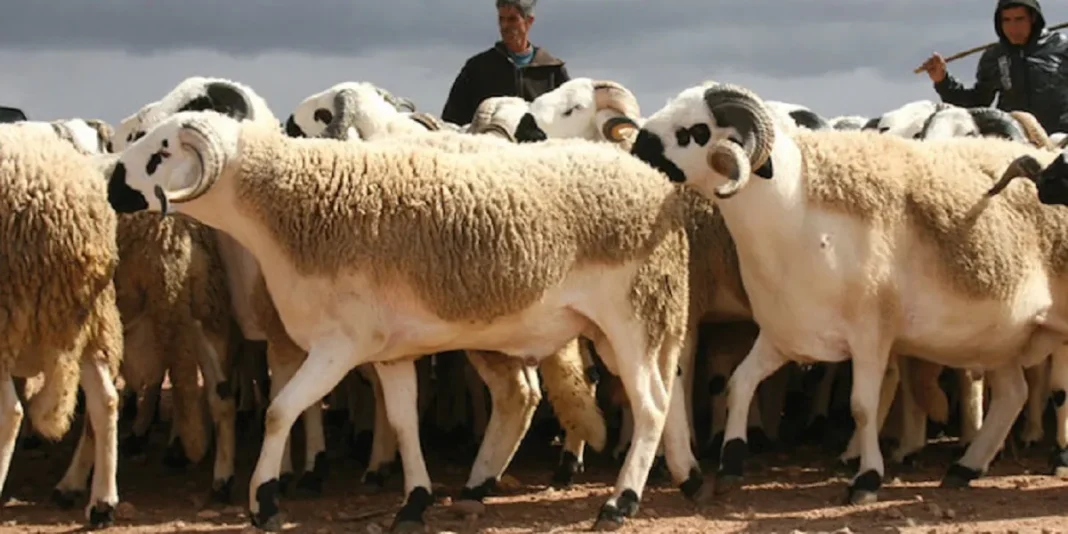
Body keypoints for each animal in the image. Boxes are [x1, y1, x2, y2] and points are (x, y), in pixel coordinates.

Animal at [630, 79, 1068, 504]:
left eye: (695, 131)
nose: (635, 150)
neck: (794, 210)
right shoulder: (785, 334)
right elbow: (739, 384)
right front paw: (731, 464)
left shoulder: (871, 337)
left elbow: (862, 408)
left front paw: (866, 480)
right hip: (1000, 337)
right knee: (1013, 394)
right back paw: (965, 468)